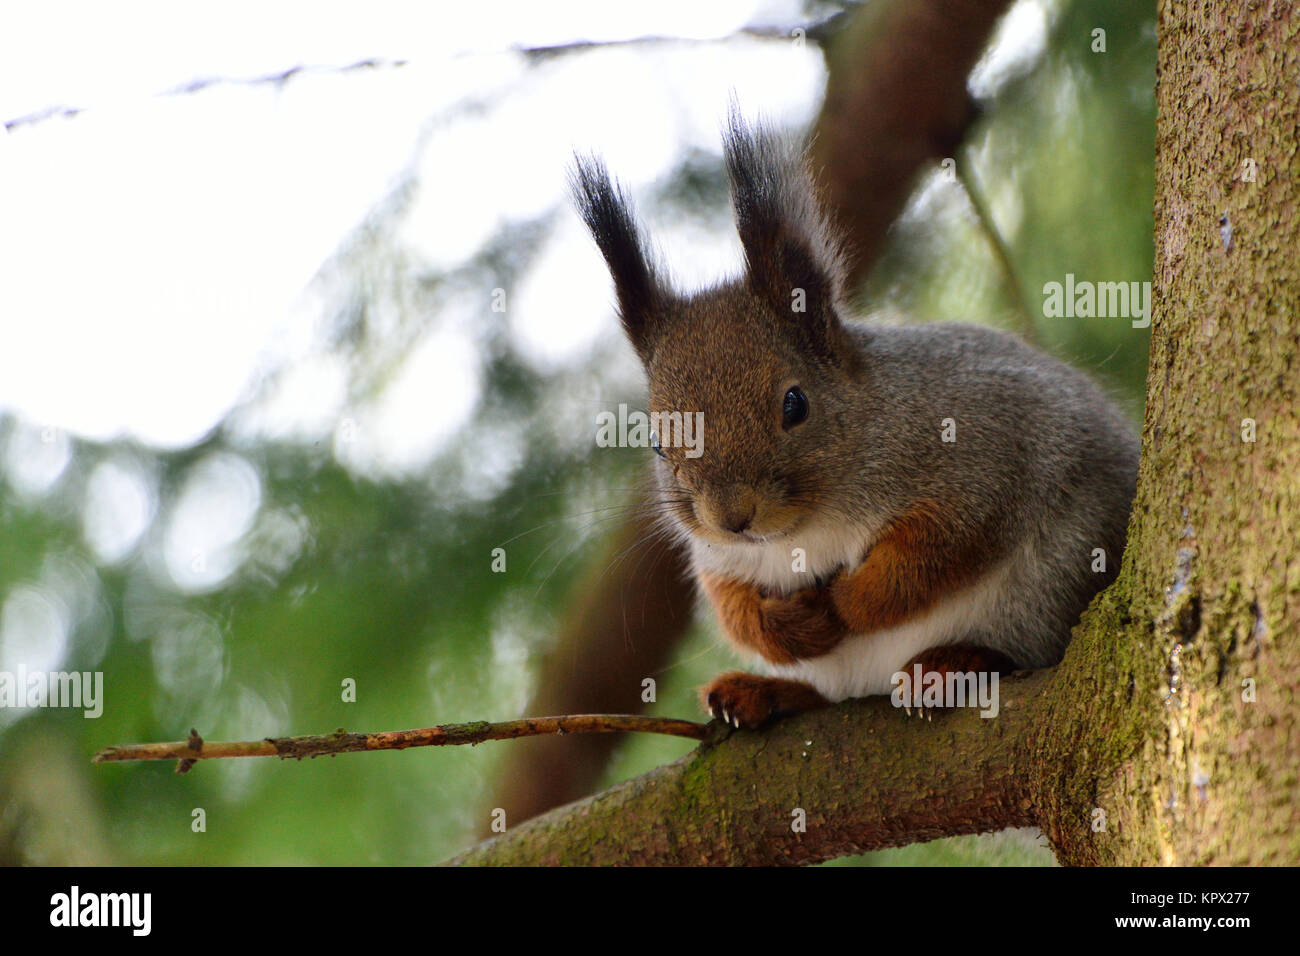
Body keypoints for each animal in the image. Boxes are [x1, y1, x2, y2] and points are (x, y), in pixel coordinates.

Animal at [569, 113, 1138, 733]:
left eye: (795, 404)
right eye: (654, 440)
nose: (732, 518)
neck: (806, 528)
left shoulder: (985, 453)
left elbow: (935, 549)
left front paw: (846, 603)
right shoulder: (717, 557)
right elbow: (731, 603)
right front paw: (789, 628)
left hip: (1055, 577)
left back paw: (950, 664)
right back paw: (761, 692)